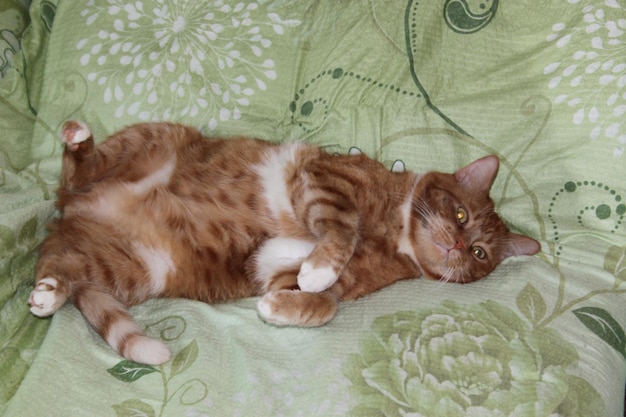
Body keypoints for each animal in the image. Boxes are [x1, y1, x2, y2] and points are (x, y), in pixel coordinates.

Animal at [26, 119, 540, 364]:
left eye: (479, 253)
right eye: (461, 215)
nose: (457, 247)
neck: (395, 235)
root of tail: (69, 218)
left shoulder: (280, 271)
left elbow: (324, 303)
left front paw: (283, 306)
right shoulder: (327, 180)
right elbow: (341, 228)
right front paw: (324, 263)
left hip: (138, 267)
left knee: (66, 269)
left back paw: (50, 292)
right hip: (155, 138)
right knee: (74, 175)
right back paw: (79, 141)